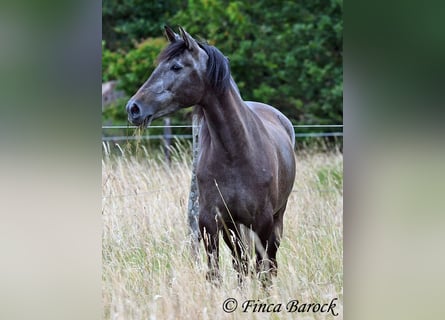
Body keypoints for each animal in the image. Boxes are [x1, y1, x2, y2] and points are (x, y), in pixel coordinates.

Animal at [125, 26, 296, 284]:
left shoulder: (263, 222)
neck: (236, 153)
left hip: (277, 217)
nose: (133, 108)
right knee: (241, 263)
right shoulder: (212, 222)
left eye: (176, 67)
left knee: (270, 263)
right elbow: (218, 272)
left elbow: (262, 270)